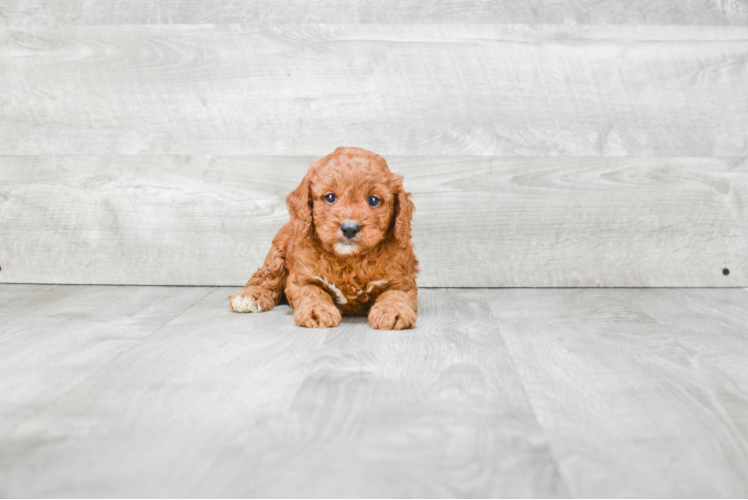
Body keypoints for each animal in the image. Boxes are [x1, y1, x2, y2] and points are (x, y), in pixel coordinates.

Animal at [228, 146, 418, 330]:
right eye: (330, 197)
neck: (349, 260)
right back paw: (249, 296)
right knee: (264, 278)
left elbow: (396, 294)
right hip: (277, 256)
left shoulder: (401, 279)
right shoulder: (302, 278)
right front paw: (316, 311)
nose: (350, 228)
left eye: (373, 200)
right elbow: (312, 292)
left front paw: (392, 311)